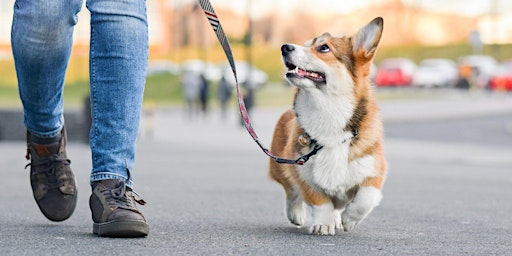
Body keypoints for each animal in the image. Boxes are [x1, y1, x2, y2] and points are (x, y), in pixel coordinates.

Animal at [270, 17, 386, 235]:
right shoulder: (303, 172)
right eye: (306, 44)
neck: (328, 111)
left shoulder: (374, 170)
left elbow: (366, 197)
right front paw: (323, 224)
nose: (284, 47)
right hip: (280, 166)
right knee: (291, 192)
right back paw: (296, 214)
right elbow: (320, 201)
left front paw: (349, 219)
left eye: (323, 48)